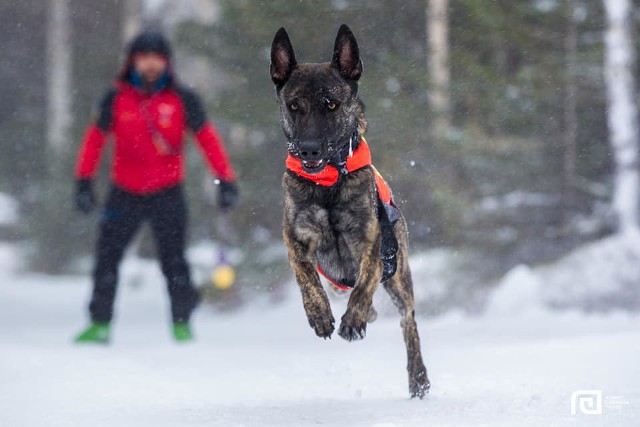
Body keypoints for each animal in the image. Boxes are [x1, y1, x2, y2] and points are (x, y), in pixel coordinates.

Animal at [270, 25, 430, 400]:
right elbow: (306, 276)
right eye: (294, 106)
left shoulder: (371, 241)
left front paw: (353, 320)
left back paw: (418, 377)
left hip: (400, 278)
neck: (328, 181)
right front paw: (319, 315)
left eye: (331, 104)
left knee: (408, 321)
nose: (308, 149)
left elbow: (365, 282)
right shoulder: (295, 237)